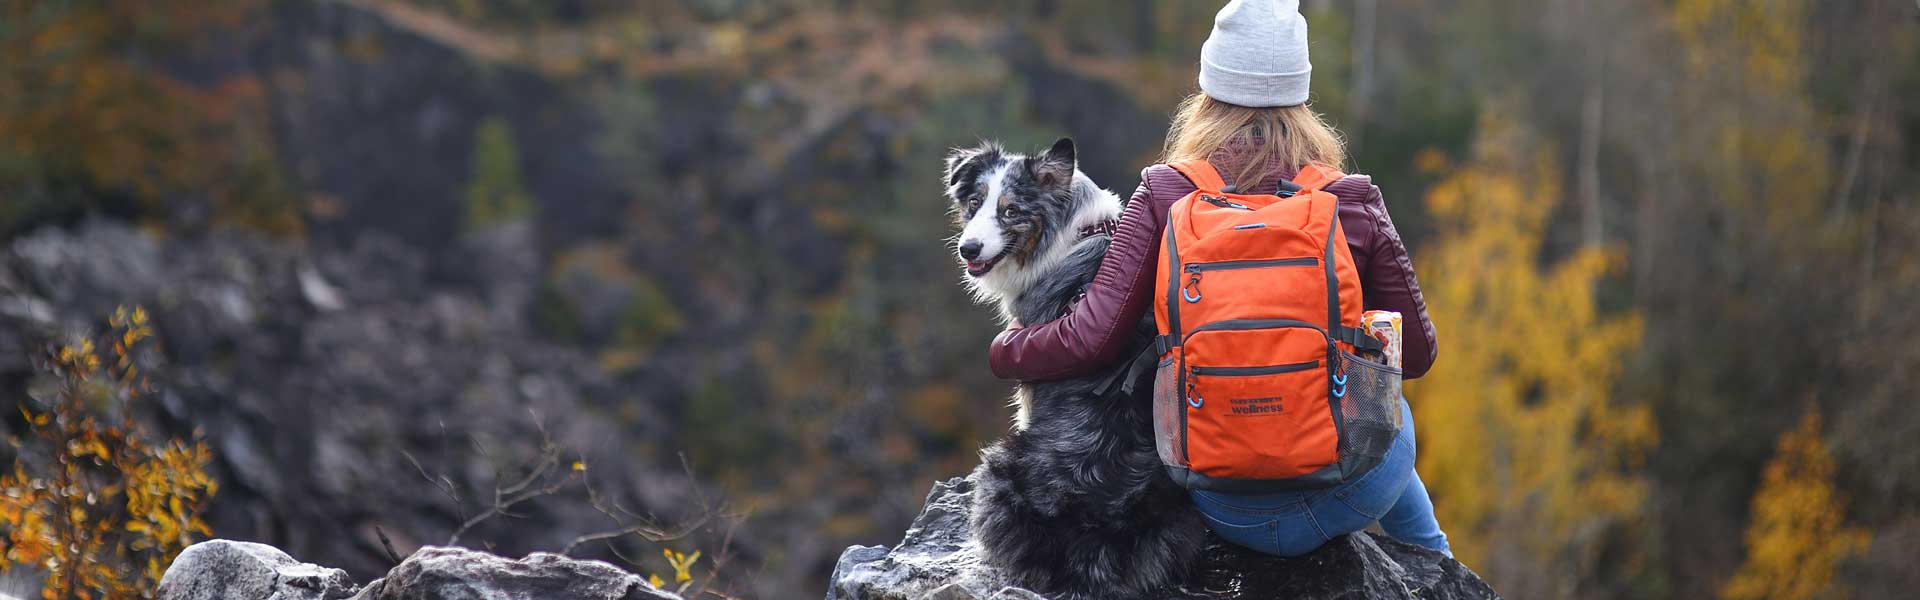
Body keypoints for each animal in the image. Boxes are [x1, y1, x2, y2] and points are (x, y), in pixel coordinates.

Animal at [940, 138, 1198, 596]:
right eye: (973, 203)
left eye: (1011, 211)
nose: (968, 249)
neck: (1071, 237)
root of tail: (1095, 535)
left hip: (995, 472)